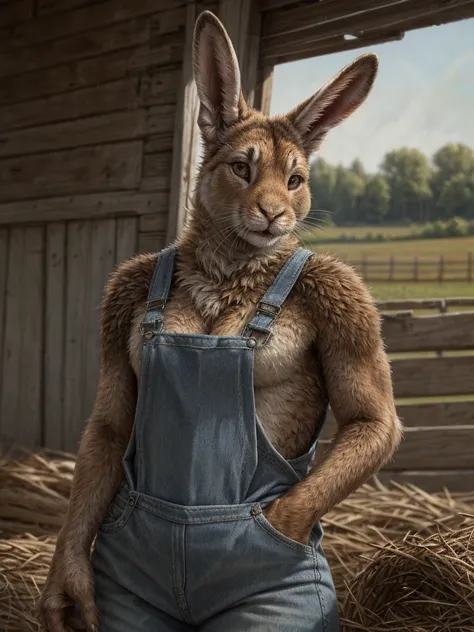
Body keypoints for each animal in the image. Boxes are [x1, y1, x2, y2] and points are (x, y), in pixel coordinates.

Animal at [40, 9, 402, 632]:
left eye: (296, 180)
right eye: (241, 167)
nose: (274, 214)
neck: (228, 271)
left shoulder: (347, 302)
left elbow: (374, 418)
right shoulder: (120, 299)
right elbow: (109, 423)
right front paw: (66, 592)